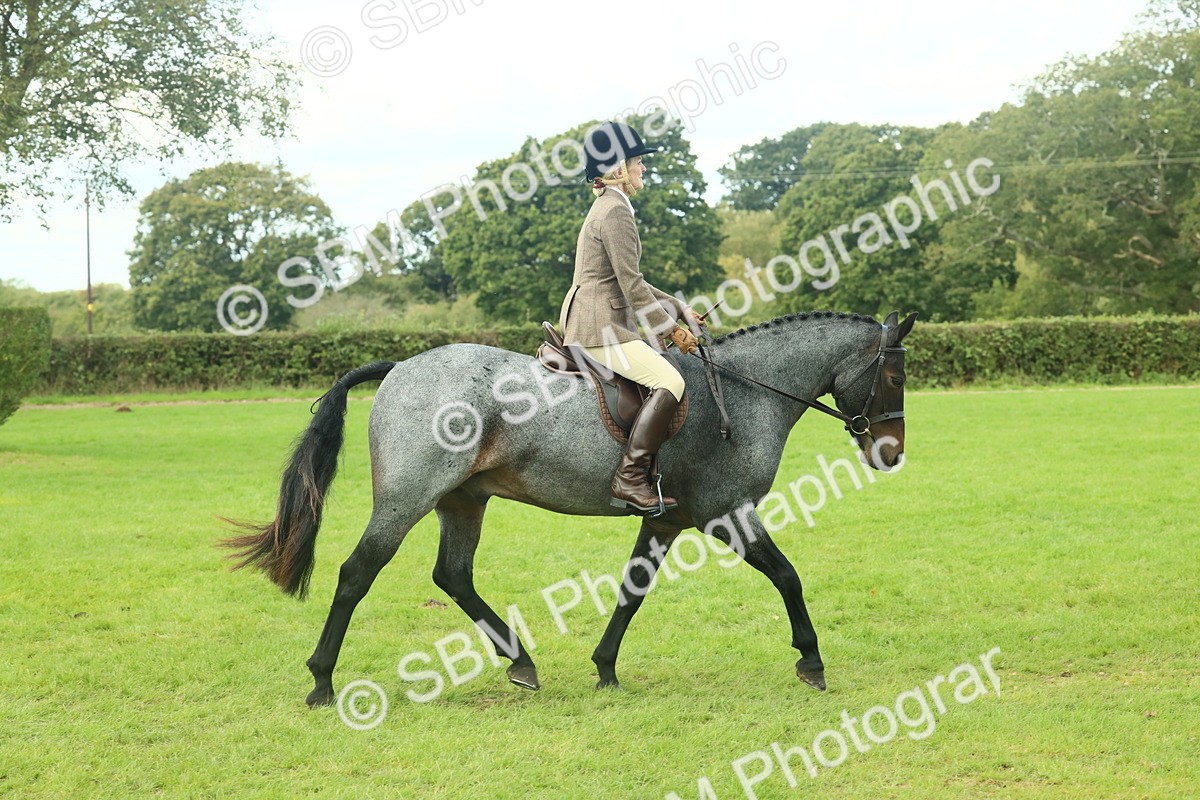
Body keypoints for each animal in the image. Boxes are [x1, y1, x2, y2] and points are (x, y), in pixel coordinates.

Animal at [222, 309, 917, 707]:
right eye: (895, 377)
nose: (891, 454)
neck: (745, 394)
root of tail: (401, 367)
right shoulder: (729, 513)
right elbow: (788, 577)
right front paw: (812, 661)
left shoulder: (667, 520)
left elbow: (633, 590)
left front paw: (605, 669)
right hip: (407, 498)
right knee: (356, 574)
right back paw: (321, 681)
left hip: (463, 500)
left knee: (452, 575)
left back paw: (522, 663)